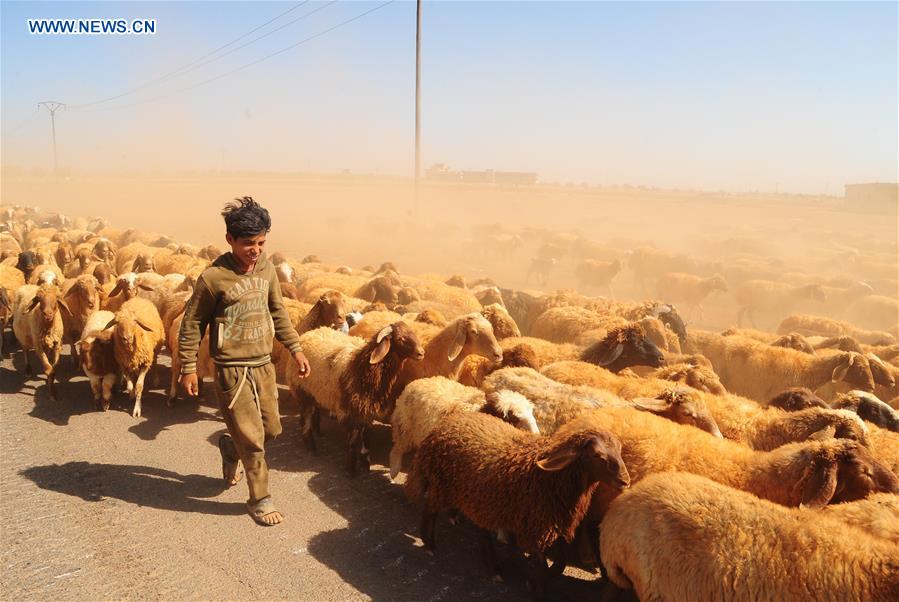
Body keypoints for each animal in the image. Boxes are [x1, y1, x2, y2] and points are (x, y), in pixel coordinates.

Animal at [290, 322, 428, 472]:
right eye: (400, 339)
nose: (421, 353)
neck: (361, 367)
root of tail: (310, 332)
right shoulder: (348, 411)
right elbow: (354, 440)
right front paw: (351, 468)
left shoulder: (367, 409)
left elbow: (367, 436)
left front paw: (365, 462)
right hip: (302, 390)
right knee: (307, 416)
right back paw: (310, 445)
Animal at [390, 376, 536, 478]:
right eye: (515, 418)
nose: (536, 434)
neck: (480, 410)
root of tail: (417, 381)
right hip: (403, 427)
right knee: (397, 449)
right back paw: (394, 471)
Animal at [404, 408, 628, 584]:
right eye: (596, 455)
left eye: (619, 449)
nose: (625, 480)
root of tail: (446, 423)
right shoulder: (534, 528)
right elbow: (541, 567)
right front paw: (535, 582)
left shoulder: (555, 526)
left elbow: (560, 563)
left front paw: (544, 574)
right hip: (443, 486)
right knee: (430, 511)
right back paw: (429, 544)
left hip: (479, 497)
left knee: (480, 531)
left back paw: (491, 566)